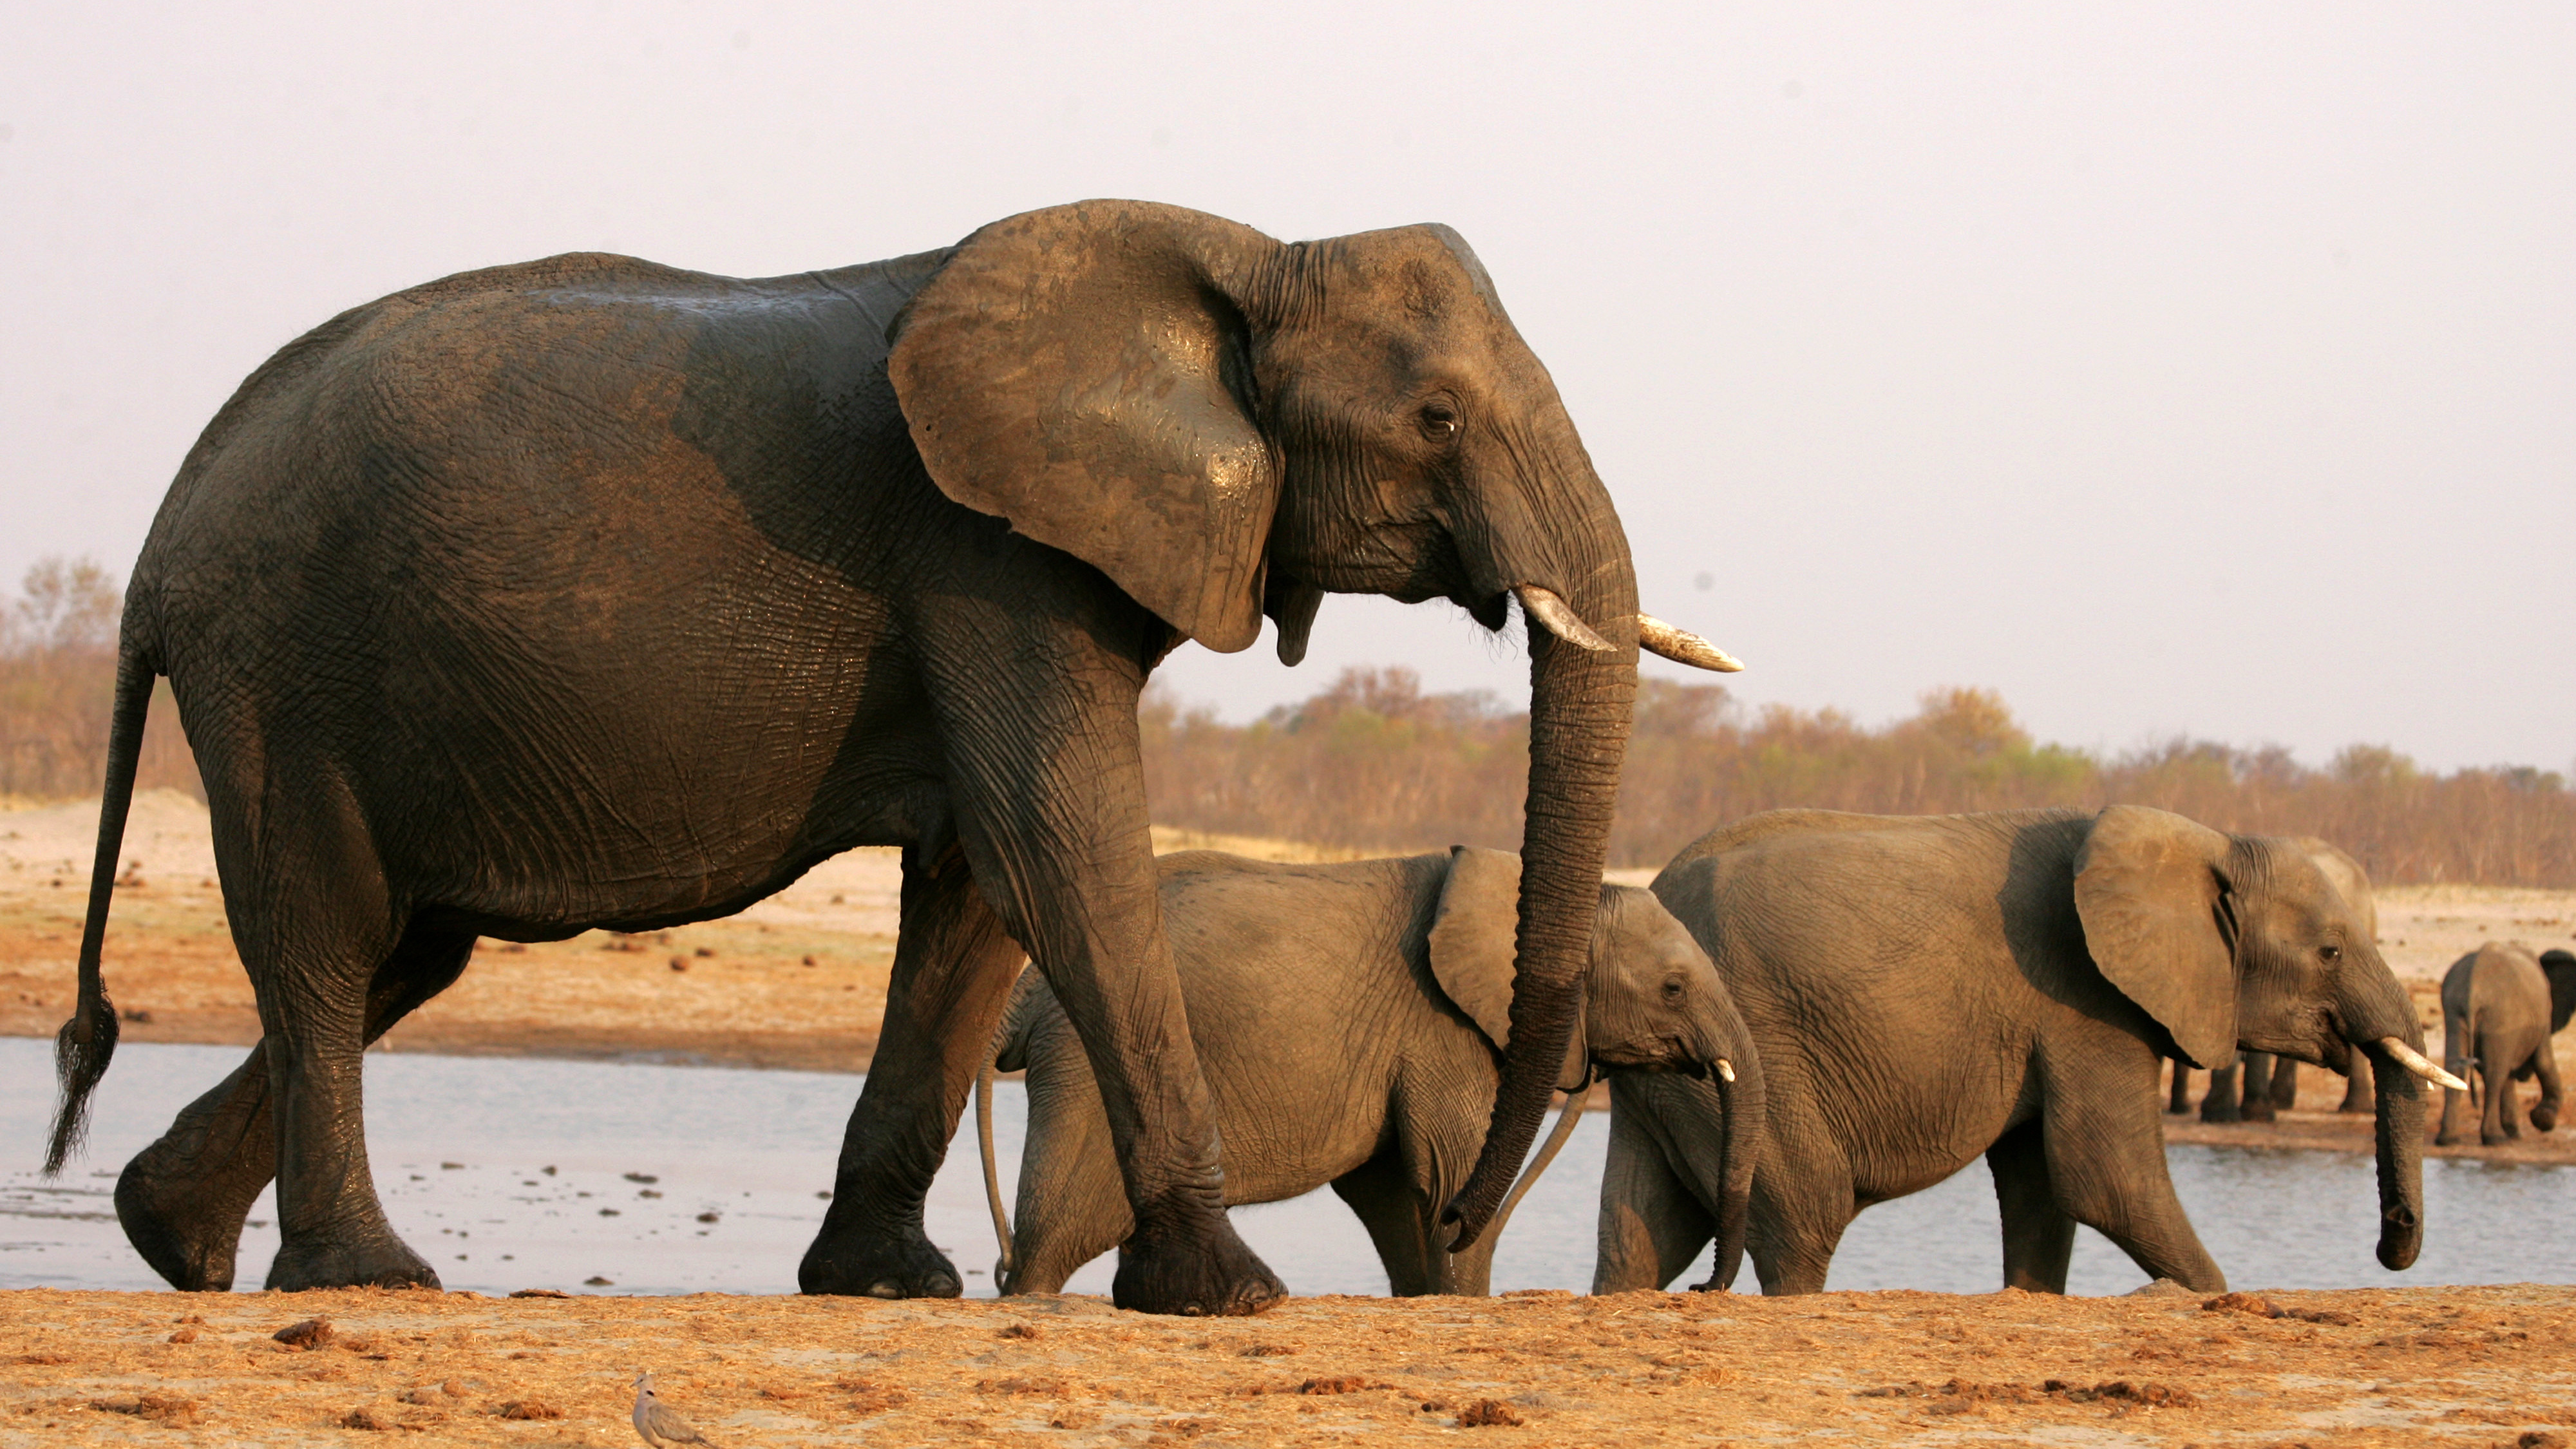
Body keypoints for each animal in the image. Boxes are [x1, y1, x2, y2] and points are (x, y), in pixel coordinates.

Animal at [973, 847, 1763, 1297]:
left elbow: (1400, 1197)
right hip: (1083, 1067)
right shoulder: (1442, 1030)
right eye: (1672, 989)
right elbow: (1449, 1177)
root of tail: (1023, 994)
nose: (1704, 1289)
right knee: (1056, 1234)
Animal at [2434, 943, 2576, 1146]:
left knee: (2456, 1069)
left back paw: (2448, 1140)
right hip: (2501, 1015)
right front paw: (2542, 1120)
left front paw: (2515, 1133)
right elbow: (2544, 1062)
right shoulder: (2543, 1016)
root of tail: (2474, 987)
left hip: (2455, 1012)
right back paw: (2495, 1139)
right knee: (2495, 1074)